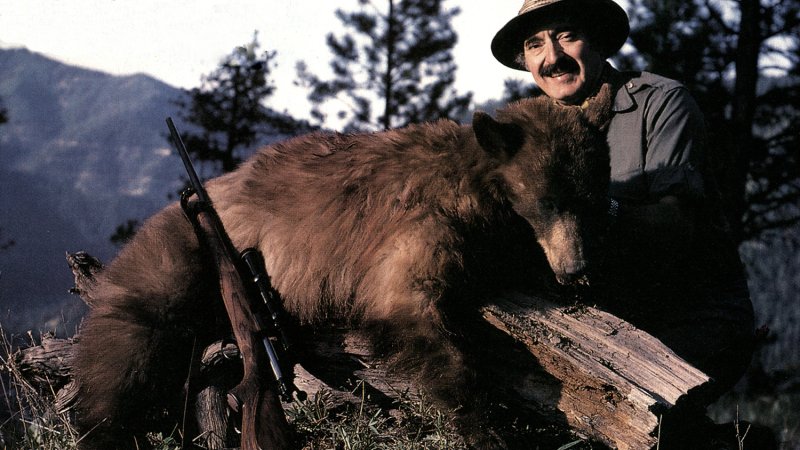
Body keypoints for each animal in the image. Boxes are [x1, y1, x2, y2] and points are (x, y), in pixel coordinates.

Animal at [73, 82, 612, 448]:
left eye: (590, 199)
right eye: (545, 201)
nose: (576, 271)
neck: (475, 183)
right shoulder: (416, 227)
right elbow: (411, 309)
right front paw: (485, 427)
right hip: (178, 256)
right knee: (127, 345)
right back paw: (103, 427)